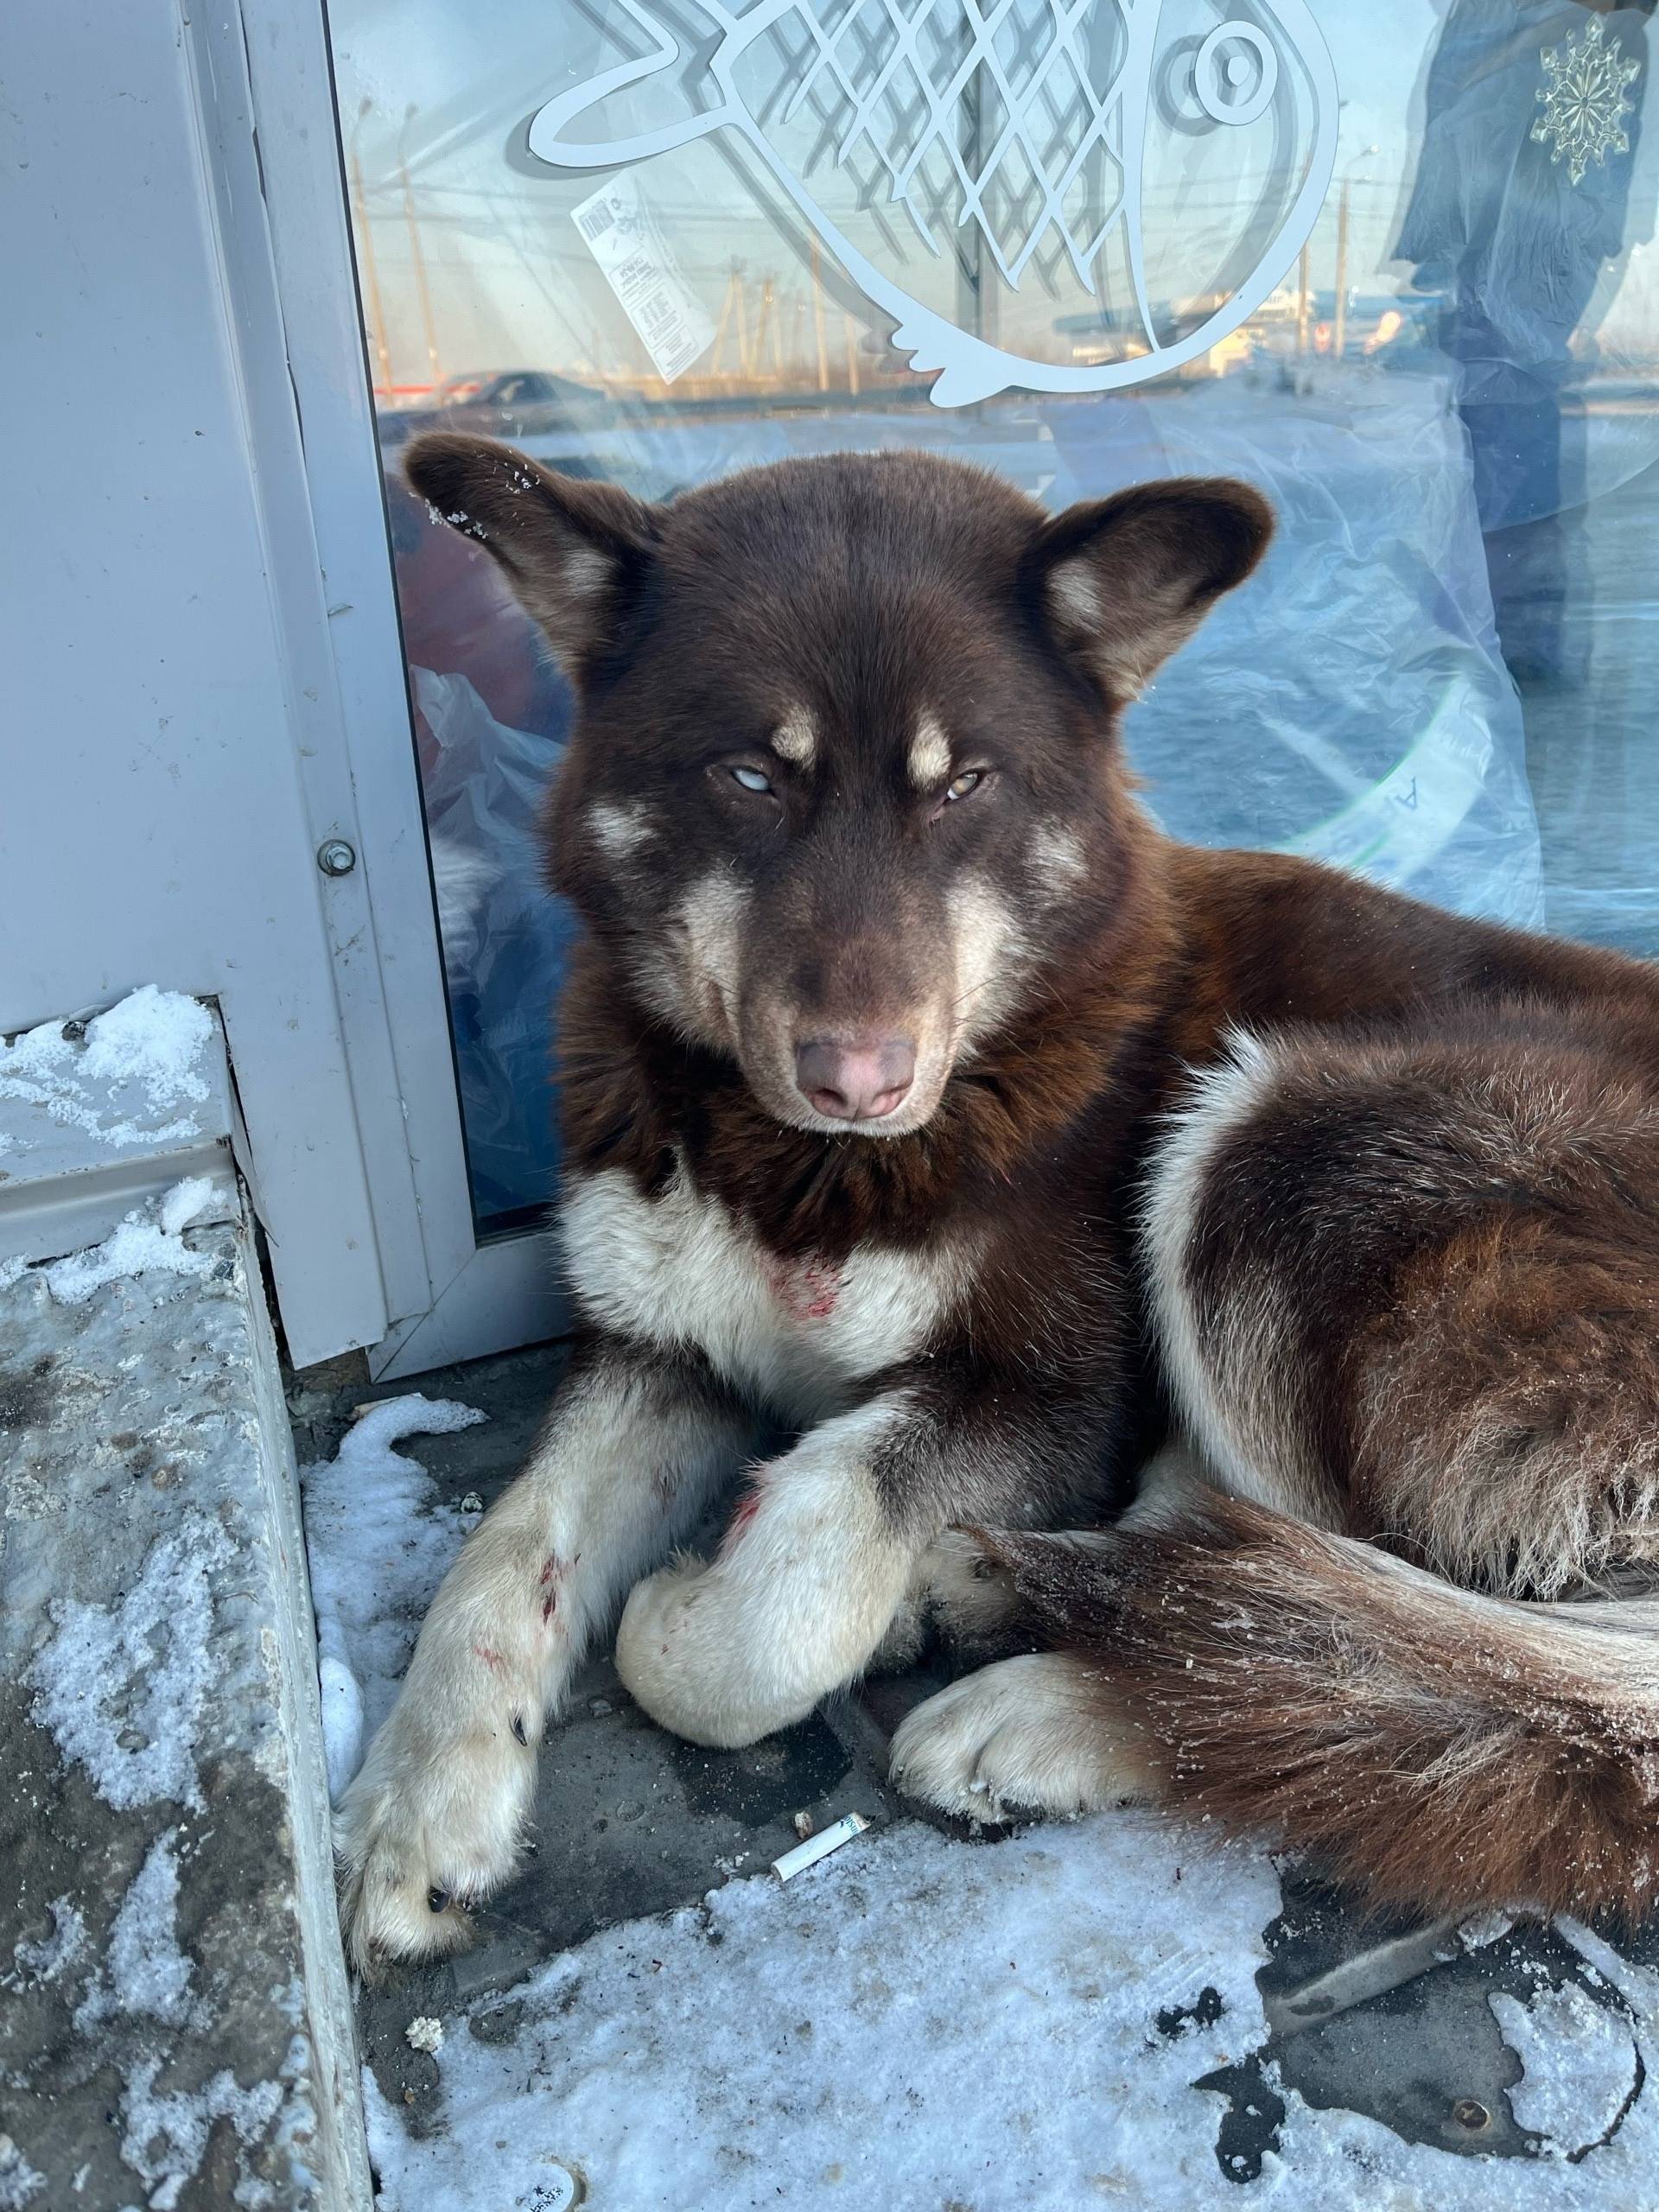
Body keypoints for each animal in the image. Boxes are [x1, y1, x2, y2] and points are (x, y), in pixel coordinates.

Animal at [336, 435, 1659, 1972]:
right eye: (750, 774)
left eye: (963, 783)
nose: (858, 1077)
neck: (801, 1167)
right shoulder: (661, 1350)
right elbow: (503, 1553)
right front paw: (418, 1801)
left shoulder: (1054, 1384)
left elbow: (779, 1594)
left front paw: (687, 1610)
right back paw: (985, 1586)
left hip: (1271, 1146)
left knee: (1382, 1652)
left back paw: (1042, 1705)